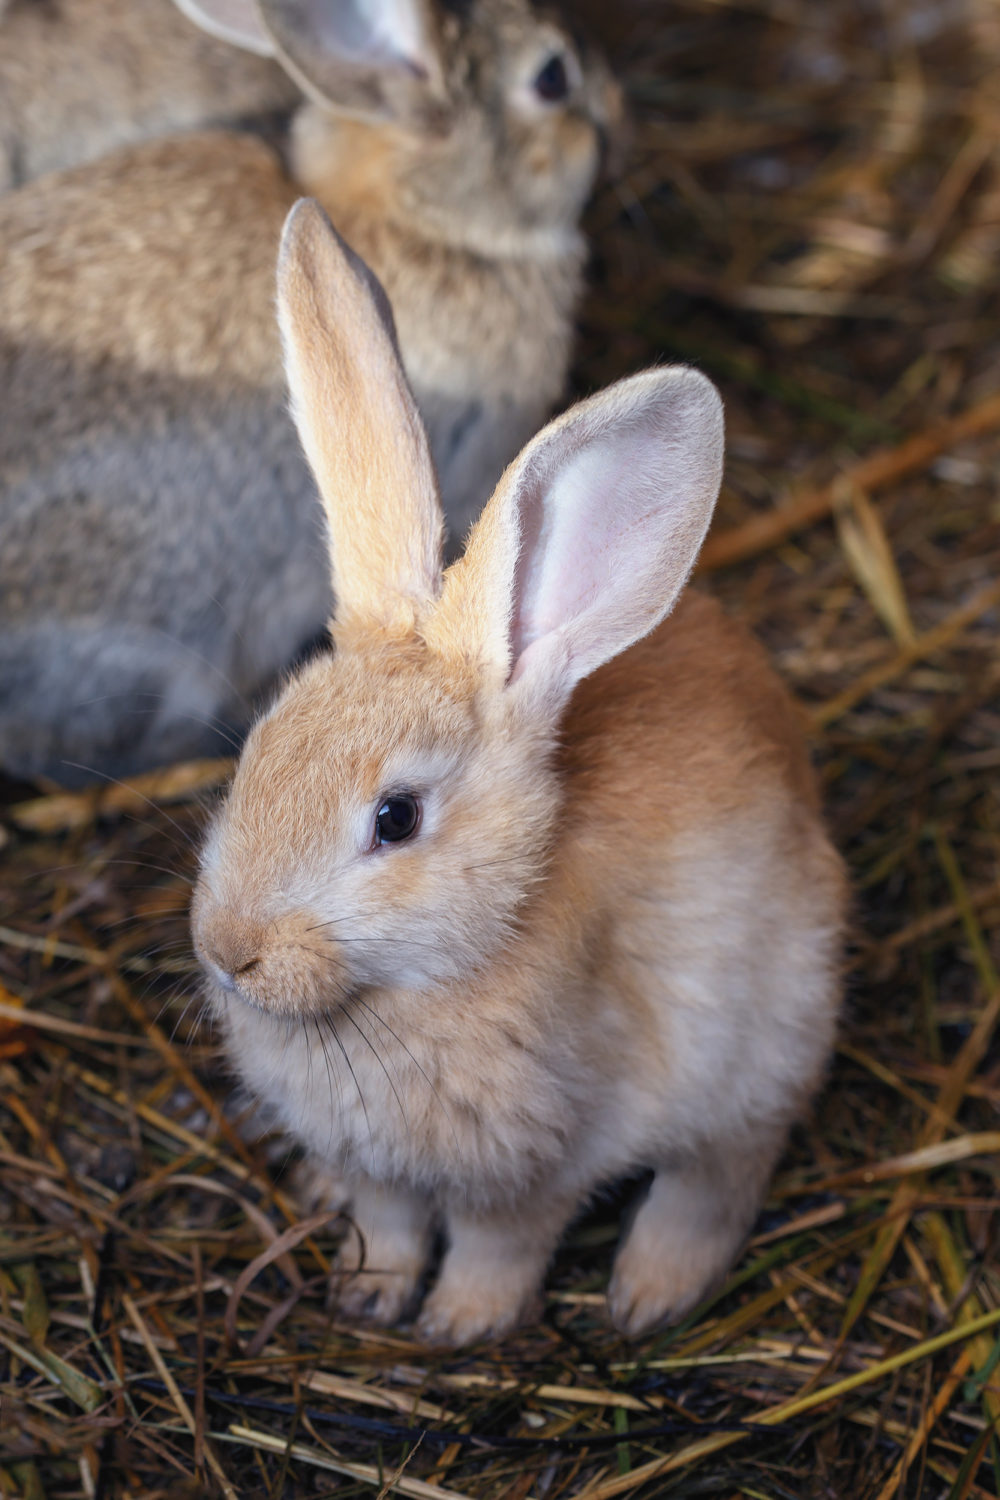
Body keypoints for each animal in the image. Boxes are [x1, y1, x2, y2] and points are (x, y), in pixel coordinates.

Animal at [190, 200, 848, 1348]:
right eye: (257, 752)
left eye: (396, 819)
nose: (229, 953)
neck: (419, 982)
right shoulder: (385, 1173)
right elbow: (386, 1222)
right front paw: (367, 1294)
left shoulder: (541, 1160)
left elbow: (500, 1245)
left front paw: (460, 1326)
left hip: (764, 1044)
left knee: (715, 1182)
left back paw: (649, 1295)